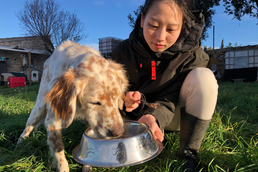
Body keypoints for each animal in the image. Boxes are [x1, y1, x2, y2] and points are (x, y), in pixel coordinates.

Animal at [17, 41, 128, 171]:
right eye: (95, 102)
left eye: (116, 98)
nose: (118, 132)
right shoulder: (53, 120)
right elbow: (58, 150)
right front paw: (62, 166)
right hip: (39, 107)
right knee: (28, 126)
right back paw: (20, 142)